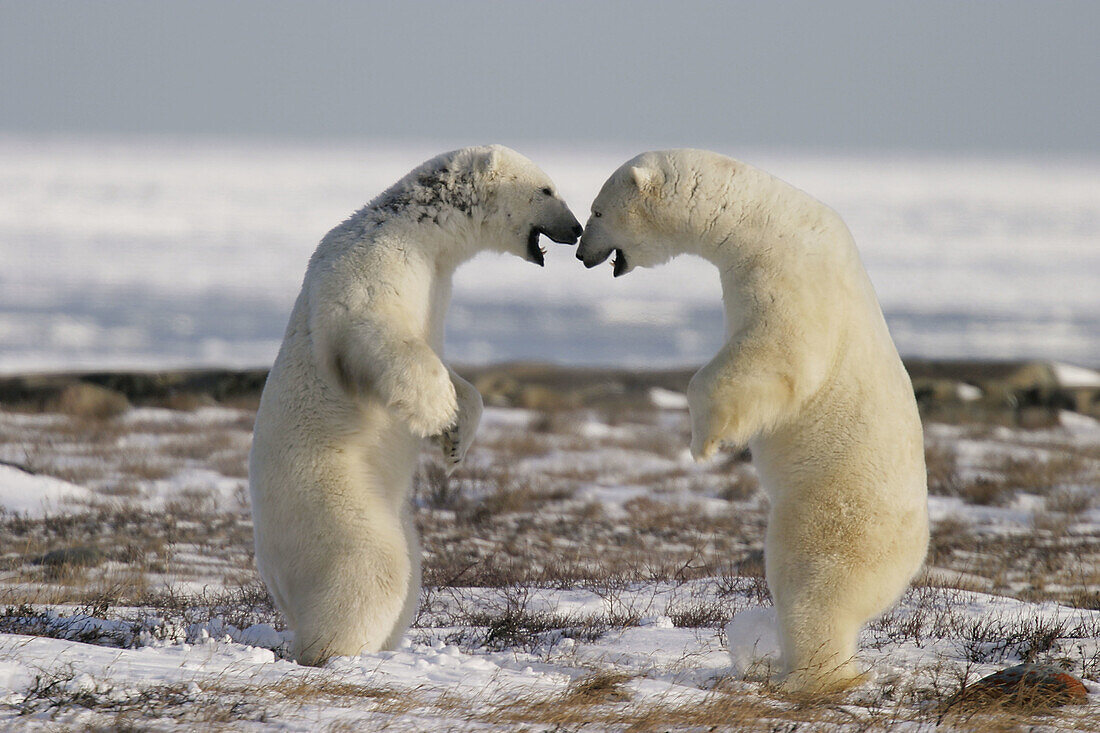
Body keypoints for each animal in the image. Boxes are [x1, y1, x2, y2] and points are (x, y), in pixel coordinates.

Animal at [245, 145, 580, 664]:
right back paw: (333, 650)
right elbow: (373, 329)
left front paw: (457, 439)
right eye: (547, 189)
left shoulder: (438, 282)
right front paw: (439, 412)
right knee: (373, 569)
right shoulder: (373, 263)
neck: (418, 229)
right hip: (332, 499)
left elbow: (449, 367)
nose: (578, 229)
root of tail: (275, 579)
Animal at [576, 148, 928, 691]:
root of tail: (913, 558)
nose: (580, 252)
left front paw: (705, 442)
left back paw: (806, 676)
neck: (762, 218)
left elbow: (776, 354)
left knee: (811, 588)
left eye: (597, 211)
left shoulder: (786, 274)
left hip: (835, 516)